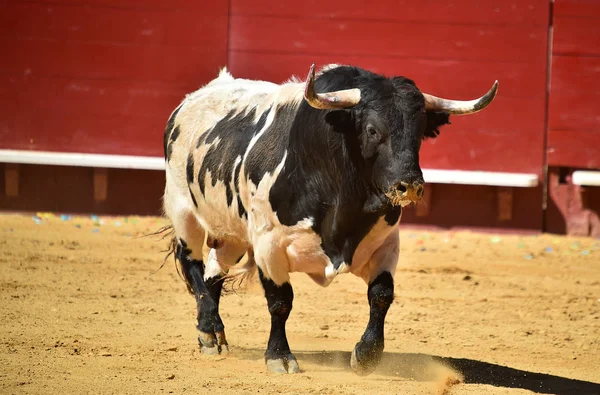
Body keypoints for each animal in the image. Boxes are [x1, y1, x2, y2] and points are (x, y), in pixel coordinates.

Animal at [163, 63, 496, 376]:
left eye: (420, 132)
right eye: (372, 130)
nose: (410, 185)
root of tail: (190, 101)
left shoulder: (386, 243)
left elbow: (381, 295)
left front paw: (367, 354)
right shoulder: (268, 243)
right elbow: (280, 301)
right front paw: (280, 357)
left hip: (231, 231)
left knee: (214, 270)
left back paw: (211, 331)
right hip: (184, 210)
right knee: (192, 262)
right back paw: (209, 330)